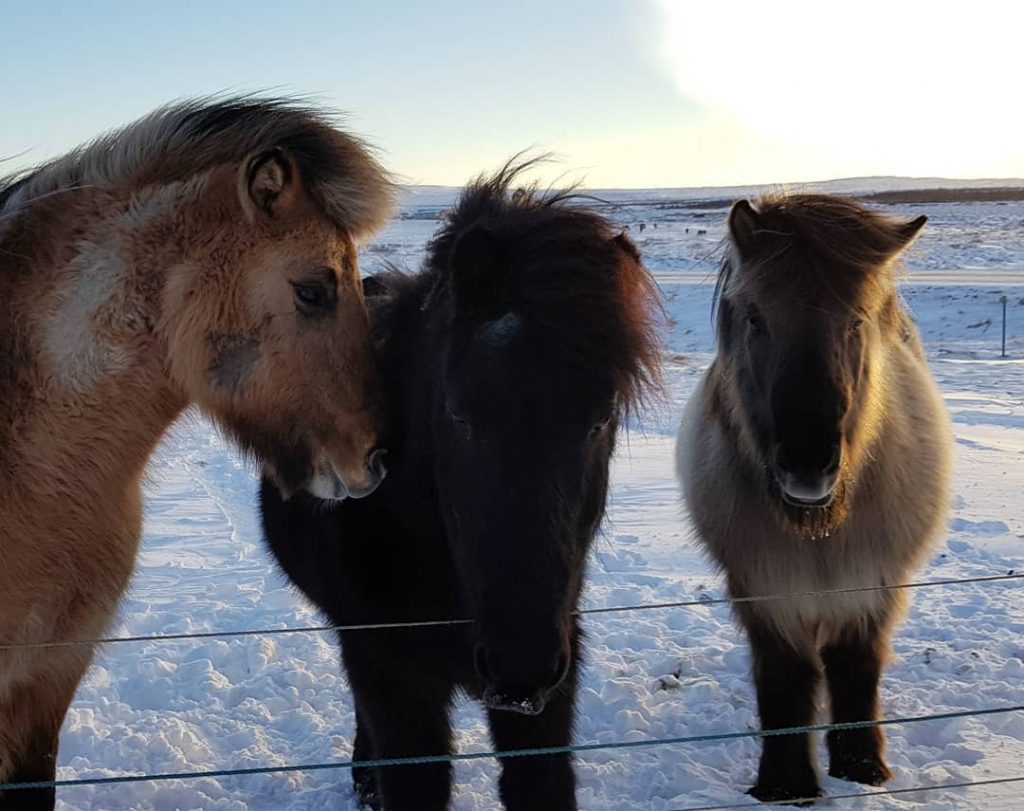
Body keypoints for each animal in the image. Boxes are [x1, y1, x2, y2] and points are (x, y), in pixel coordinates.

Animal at [676, 194, 953, 804]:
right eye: (756, 317)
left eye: (856, 320)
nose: (807, 463)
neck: (818, 526)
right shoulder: (764, 586)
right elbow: (785, 677)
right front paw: (785, 783)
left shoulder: (871, 584)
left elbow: (854, 668)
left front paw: (860, 767)